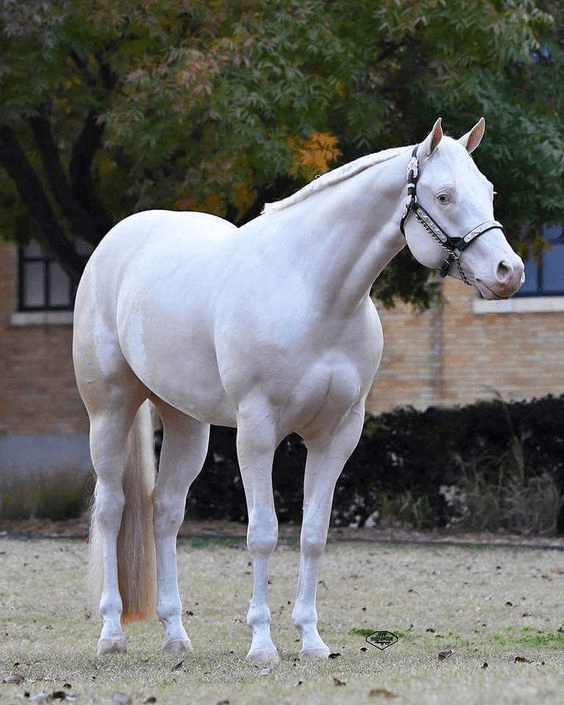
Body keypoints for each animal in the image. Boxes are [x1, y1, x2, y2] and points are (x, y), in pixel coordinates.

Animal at [71, 118, 524, 664]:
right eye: (444, 195)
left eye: (489, 191)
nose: (509, 272)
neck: (313, 292)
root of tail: (117, 241)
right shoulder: (257, 432)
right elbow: (263, 534)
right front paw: (262, 644)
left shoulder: (337, 435)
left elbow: (313, 535)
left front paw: (310, 640)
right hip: (110, 411)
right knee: (111, 510)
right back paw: (111, 633)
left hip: (186, 423)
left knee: (166, 512)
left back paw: (176, 634)